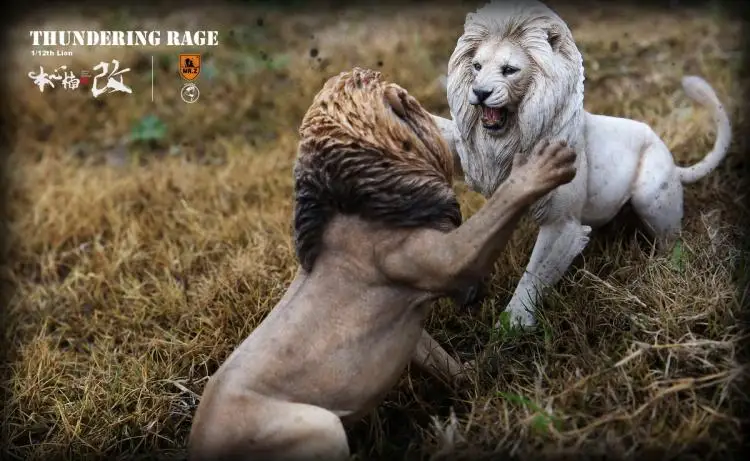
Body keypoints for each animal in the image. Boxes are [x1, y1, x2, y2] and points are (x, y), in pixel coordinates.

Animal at [187, 67, 578, 461]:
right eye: (416, 107)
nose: (463, 120)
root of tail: (198, 445)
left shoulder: (416, 325)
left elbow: (444, 362)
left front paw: (480, 372)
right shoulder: (444, 260)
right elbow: (498, 208)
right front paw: (539, 166)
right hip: (320, 426)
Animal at [431, 0, 732, 328]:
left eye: (509, 70)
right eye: (476, 66)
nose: (480, 93)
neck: (516, 134)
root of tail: (671, 159)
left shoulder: (562, 224)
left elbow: (535, 273)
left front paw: (513, 325)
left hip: (652, 197)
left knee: (673, 242)